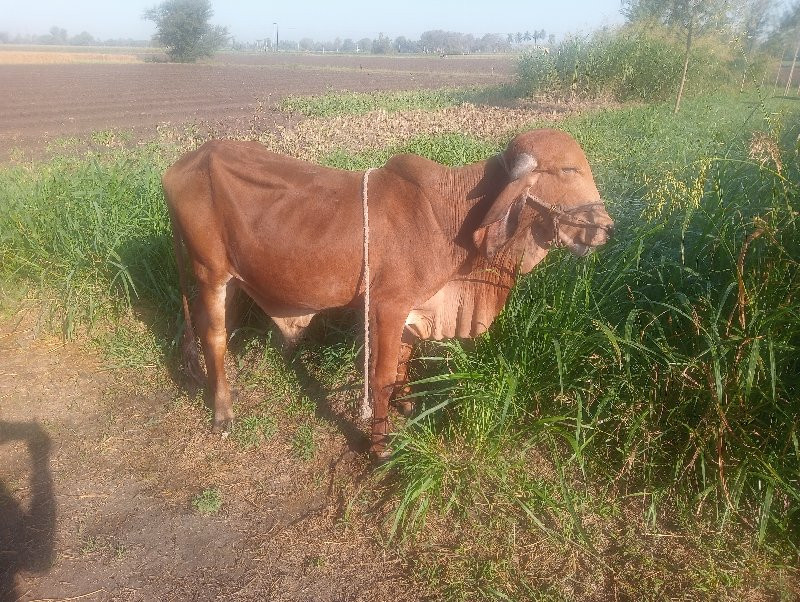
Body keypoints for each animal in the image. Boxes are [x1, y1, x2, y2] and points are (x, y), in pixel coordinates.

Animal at [162, 127, 612, 454]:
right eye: (569, 171)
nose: (606, 228)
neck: (446, 217)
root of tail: (182, 165)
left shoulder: (415, 306)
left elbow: (402, 365)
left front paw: (407, 403)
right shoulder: (386, 307)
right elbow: (380, 377)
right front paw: (380, 445)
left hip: (231, 278)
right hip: (210, 273)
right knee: (214, 336)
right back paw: (223, 411)